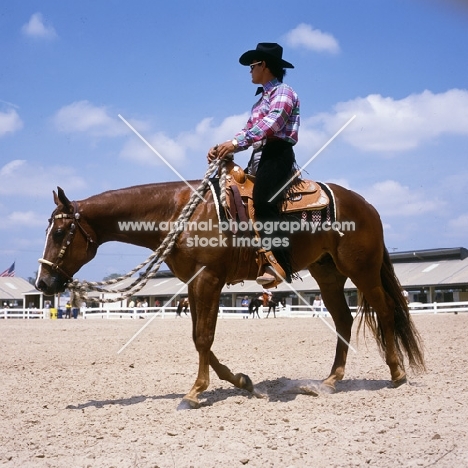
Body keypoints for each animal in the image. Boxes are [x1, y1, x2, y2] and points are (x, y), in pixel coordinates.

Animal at [36, 181, 424, 408]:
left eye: (59, 232)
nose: (43, 283)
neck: (177, 212)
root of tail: (367, 205)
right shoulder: (194, 284)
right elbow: (200, 338)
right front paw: (241, 381)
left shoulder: (208, 279)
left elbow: (203, 337)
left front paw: (195, 392)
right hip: (327, 273)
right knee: (343, 319)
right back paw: (329, 381)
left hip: (362, 270)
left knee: (384, 311)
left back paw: (396, 374)